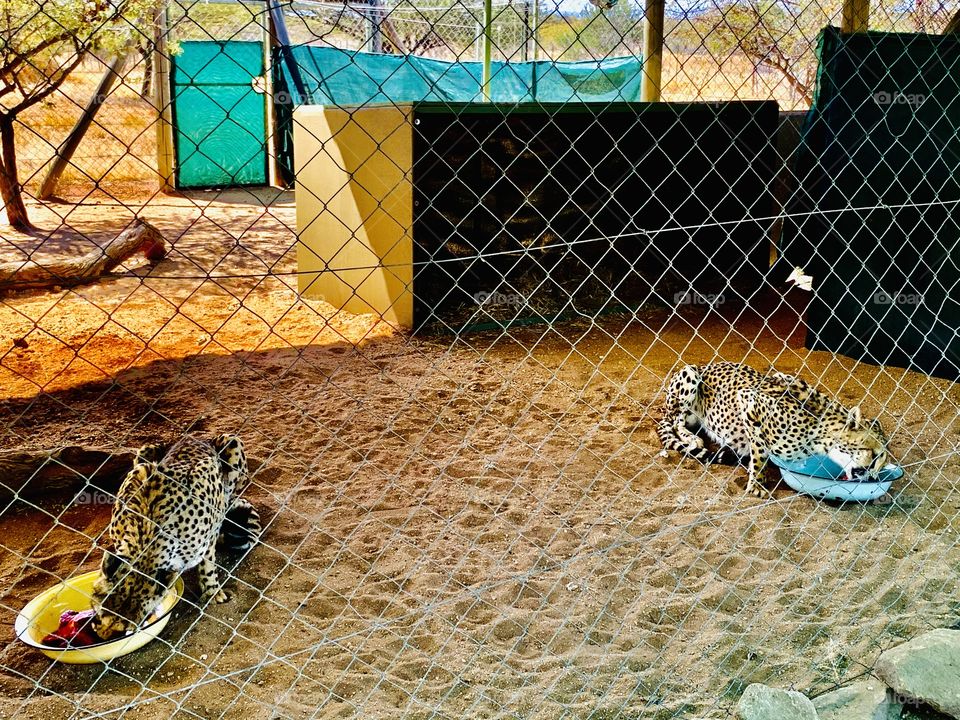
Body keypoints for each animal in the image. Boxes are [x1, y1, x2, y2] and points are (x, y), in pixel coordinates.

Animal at [90, 434, 260, 636]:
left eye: (126, 631)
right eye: (97, 617)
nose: (100, 634)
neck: (148, 548)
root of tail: (197, 437)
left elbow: (208, 565)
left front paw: (213, 592)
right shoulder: (140, 471)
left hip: (232, 444)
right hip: (144, 452)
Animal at [656, 362, 888, 498]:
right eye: (875, 455)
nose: (875, 477)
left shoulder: (782, 376)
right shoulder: (748, 400)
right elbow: (759, 450)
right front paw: (757, 482)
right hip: (689, 375)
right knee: (674, 422)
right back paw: (692, 439)